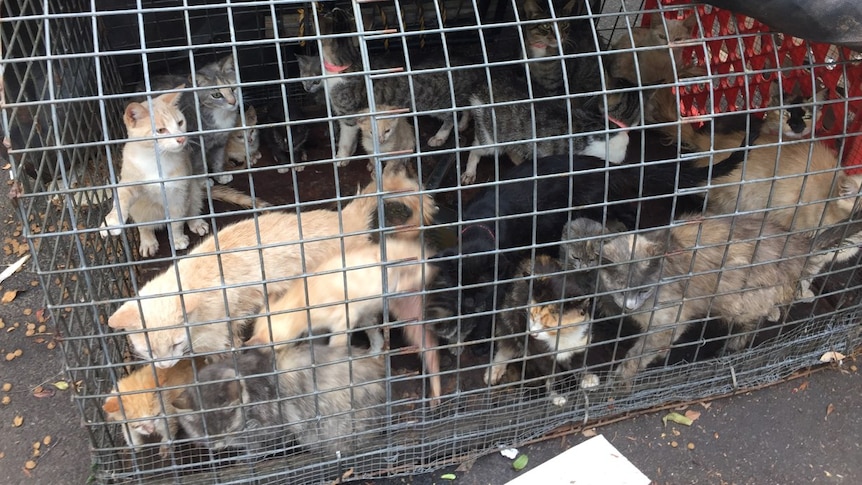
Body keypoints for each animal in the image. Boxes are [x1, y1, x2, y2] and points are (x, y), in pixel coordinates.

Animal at [99, 90, 209, 258]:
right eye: (161, 130)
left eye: (180, 123)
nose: (181, 138)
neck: (156, 160)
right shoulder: (129, 180)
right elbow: (121, 199)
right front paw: (112, 221)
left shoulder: (179, 194)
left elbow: (177, 220)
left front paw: (177, 239)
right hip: (139, 209)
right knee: (144, 226)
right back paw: (147, 241)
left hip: (194, 190)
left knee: (192, 206)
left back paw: (196, 222)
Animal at [246, 236, 442, 402]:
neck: (300, 302)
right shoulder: (357, 316)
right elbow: (374, 337)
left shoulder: (343, 319)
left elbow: (335, 347)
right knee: (425, 344)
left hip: (404, 287)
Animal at [490, 253, 596, 404]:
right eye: (532, 316)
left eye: (548, 326)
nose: (533, 333)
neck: (563, 337)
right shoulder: (537, 349)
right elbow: (551, 371)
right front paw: (557, 392)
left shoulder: (582, 339)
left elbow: (579, 362)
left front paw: (586, 377)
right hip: (509, 315)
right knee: (508, 342)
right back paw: (495, 369)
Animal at [592, 212, 856, 386]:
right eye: (621, 290)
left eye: (643, 291)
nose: (630, 306)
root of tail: (797, 248)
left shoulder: (670, 319)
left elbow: (642, 351)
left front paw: (621, 376)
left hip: (735, 293)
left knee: (753, 321)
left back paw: (733, 346)